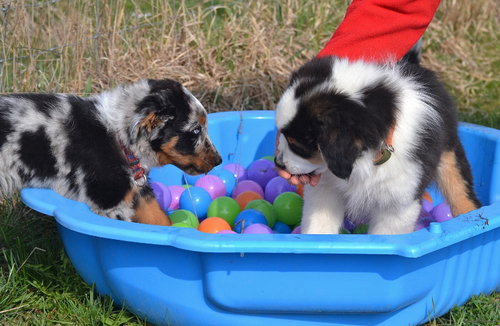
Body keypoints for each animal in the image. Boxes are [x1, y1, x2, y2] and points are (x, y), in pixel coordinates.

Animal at [0, 80, 223, 225]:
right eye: (196, 130)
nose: (219, 160)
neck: (118, 136)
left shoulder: (137, 192)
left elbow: (160, 220)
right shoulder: (111, 201)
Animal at [274, 52, 480, 233]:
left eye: (298, 146)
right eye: (281, 135)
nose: (278, 163)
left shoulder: (399, 202)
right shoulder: (325, 190)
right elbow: (318, 226)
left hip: (449, 152)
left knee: (461, 192)